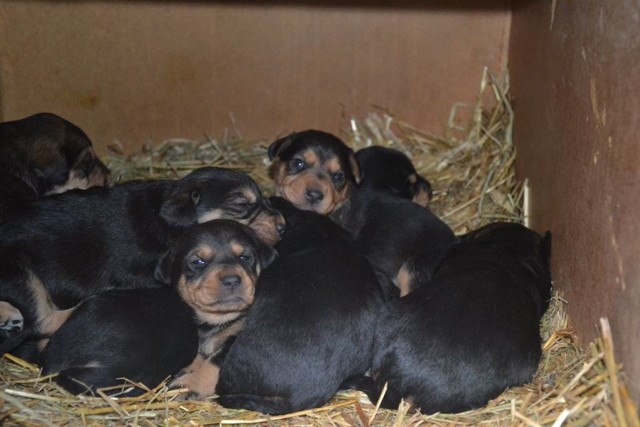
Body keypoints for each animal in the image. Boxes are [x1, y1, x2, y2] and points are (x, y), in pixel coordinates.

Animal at [39, 221, 276, 398]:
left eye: (245, 257)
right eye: (198, 262)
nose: (231, 279)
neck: (212, 322)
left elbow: (215, 361)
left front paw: (190, 384)